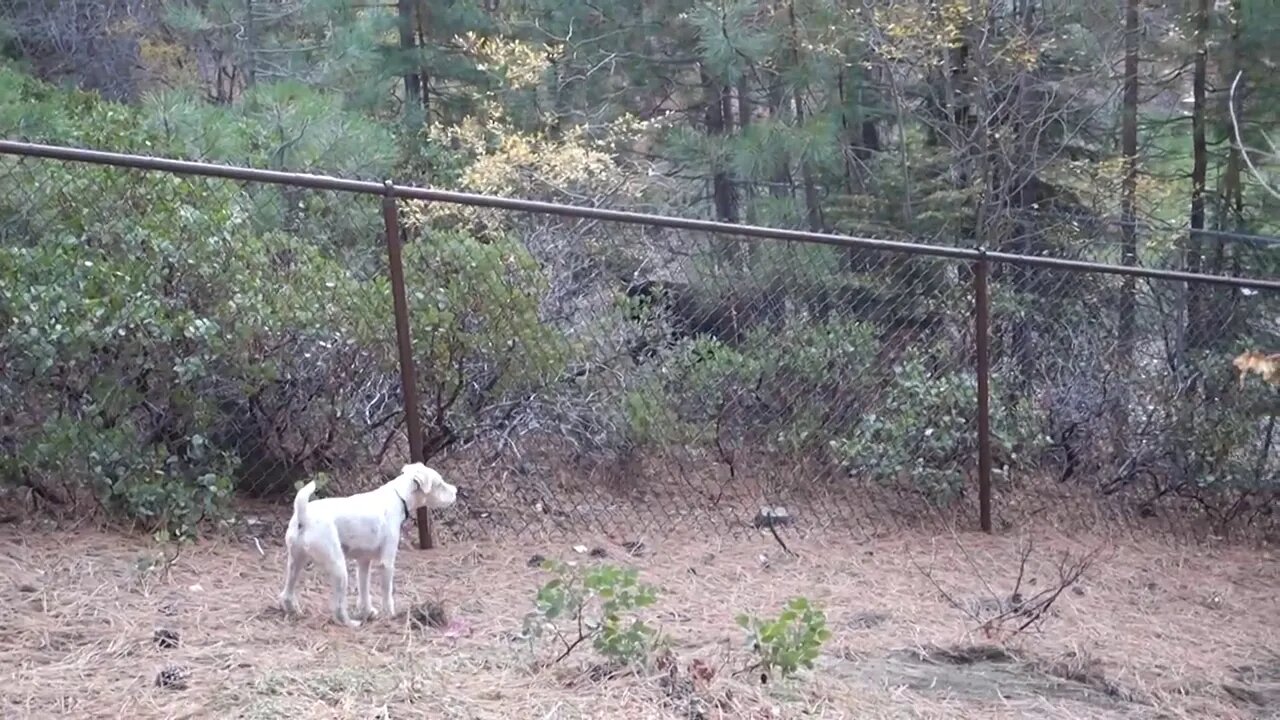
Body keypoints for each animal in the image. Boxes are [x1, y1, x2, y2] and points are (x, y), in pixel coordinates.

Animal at [279, 461, 455, 625]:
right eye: (439, 484)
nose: (456, 491)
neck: (399, 496)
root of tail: (303, 516)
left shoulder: (364, 562)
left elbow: (364, 590)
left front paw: (367, 611)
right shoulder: (387, 563)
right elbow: (387, 593)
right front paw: (390, 614)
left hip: (295, 563)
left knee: (287, 594)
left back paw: (294, 611)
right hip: (338, 568)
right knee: (338, 608)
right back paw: (350, 623)